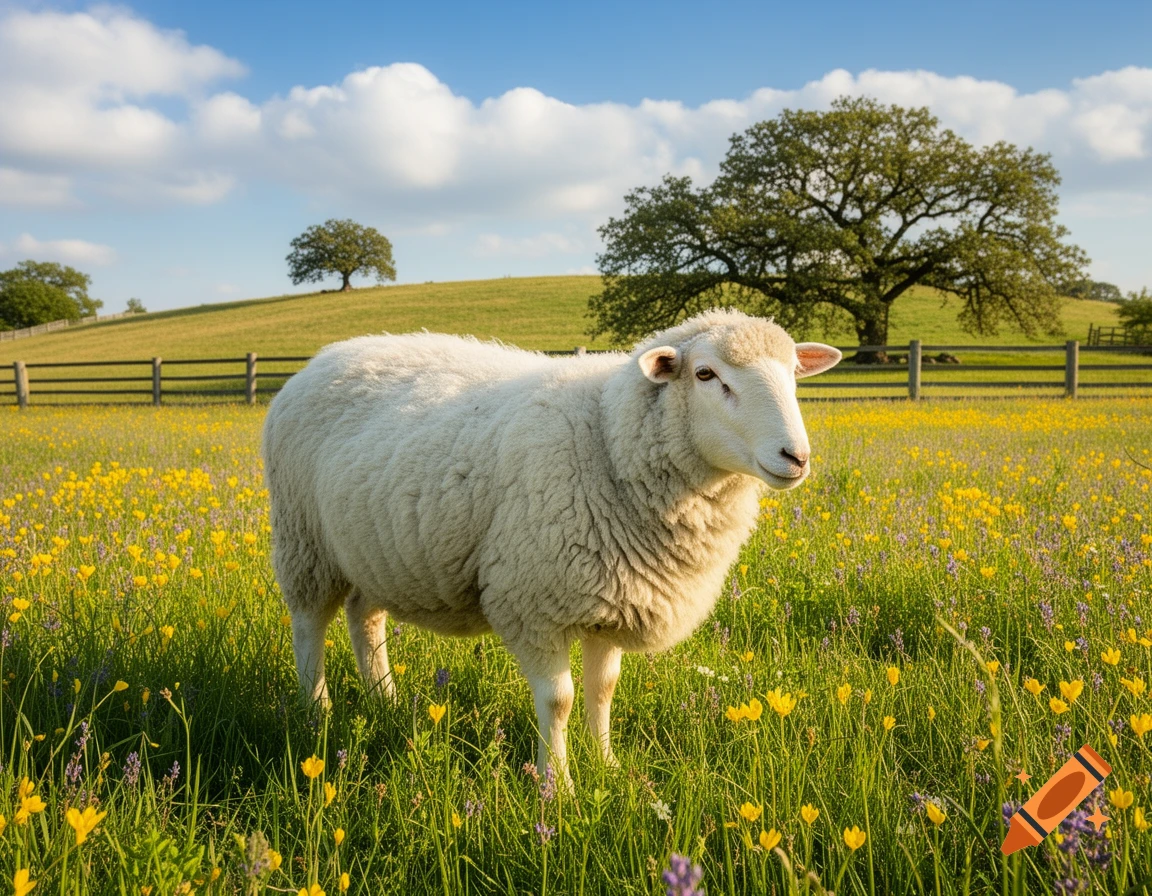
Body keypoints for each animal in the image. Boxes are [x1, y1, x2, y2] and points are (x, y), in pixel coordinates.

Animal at [262, 308, 841, 786]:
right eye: (705, 375)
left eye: (793, 373)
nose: (796, 456)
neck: (606, 439)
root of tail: (323, 357)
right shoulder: (532, 601)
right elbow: (559, 699)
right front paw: (556, 787)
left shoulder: (618, 594)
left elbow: (604, 689)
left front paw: (607, 766)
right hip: (304, 539)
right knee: (309, 625)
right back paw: (317, 714)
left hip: (373, 550)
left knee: (365, 617)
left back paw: (385, 702)